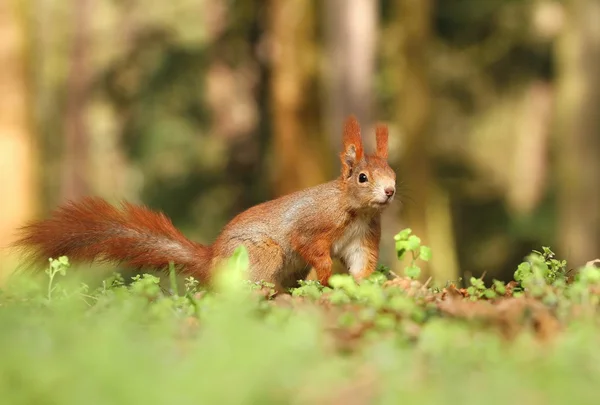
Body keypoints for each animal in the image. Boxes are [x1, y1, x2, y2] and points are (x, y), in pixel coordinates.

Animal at [11, 115, 396, 292]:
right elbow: (309, 244)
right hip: (262, 255)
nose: (390, 192)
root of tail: (212, 262)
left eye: (393, 172)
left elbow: (360, 262)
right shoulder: (312, 222)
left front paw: (362, 285)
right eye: (363, 178)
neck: (355, 210)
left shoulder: (362, 237)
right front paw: (327, 275)